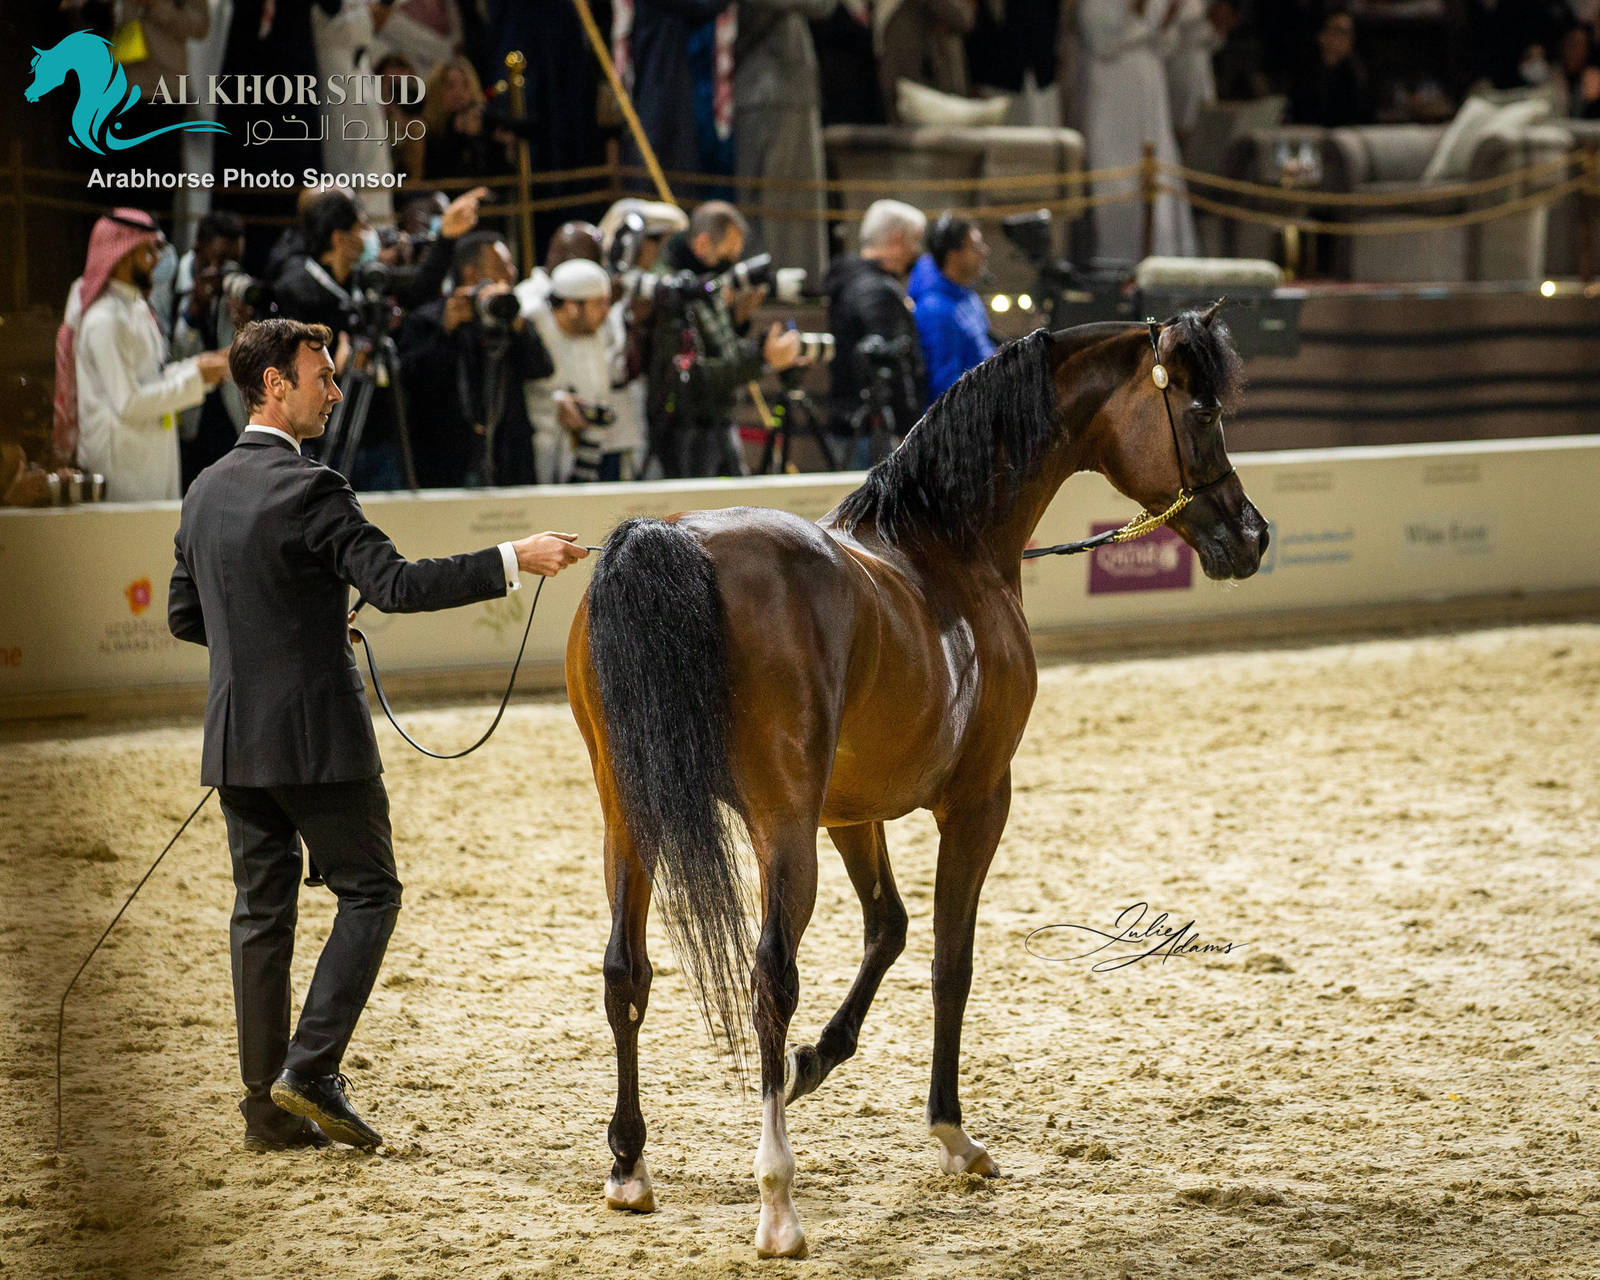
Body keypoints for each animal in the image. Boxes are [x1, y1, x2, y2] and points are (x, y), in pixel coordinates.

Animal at [565, 309, 1269, 1259]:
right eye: (1202, 411)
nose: (1252, 535)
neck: (945, 554)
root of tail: (670, 539)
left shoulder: (850, 812)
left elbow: (889, 928)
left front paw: (816, 1061)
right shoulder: (976, 801)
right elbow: (949, 960)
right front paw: (952, 1134)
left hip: (630, 817)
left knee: (624, 972)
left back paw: (630, 1165)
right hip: (778, 827)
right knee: (769, 977)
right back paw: (777, 1199)